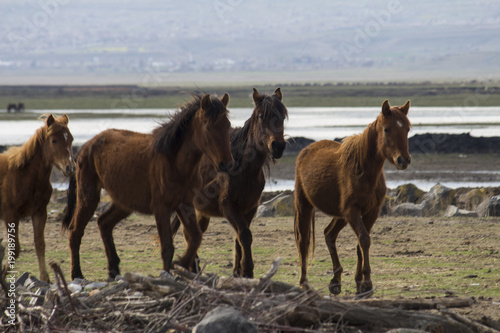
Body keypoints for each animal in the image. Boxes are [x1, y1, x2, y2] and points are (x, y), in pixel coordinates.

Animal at [0, 114, 75, 280]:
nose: (70, 168)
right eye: (54, 140)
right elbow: (15, 248)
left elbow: (40, 244)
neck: (24, 176)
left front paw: (45, 278)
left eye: (71, 139)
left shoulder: (39, 212)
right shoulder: (10, 215)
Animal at [62, 93, 234, 280]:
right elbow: (167, 247)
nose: (227, 164)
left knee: (103, 223)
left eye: (227, 125)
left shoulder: (185, 205)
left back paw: (113, 270)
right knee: (75, 232)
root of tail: (86, 146)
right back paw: (77, 274)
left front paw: (180, 264)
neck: (175, 162)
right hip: (89, 198)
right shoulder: (161, 208)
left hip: (124, 203)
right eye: (208, 127)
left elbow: (195, 238)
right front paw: (169, 273)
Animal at [173, 88, 288, 278]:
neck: (243, 169)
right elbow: (244, 234)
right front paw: (247, 270)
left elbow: (239, 236)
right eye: (261, 116)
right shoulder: (228, 205)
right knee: (188, 233)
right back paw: (193, 267)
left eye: (283, 116)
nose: (278, 146)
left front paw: (238, 271)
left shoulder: (249, 208)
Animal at [292, 99, 410, 296]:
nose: (404, 160)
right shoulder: (352, 211)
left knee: (329, 235)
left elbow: (361, 244)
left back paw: (335, 281)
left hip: (341, 215)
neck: (364, 171)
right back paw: (305, 283)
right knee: (304, 242)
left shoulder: (370, 212)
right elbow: (364, 240)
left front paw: (359, 282)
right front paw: (367, 282)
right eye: (387, 129)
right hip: (305, 205)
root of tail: (306, 151)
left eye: (407, 128)